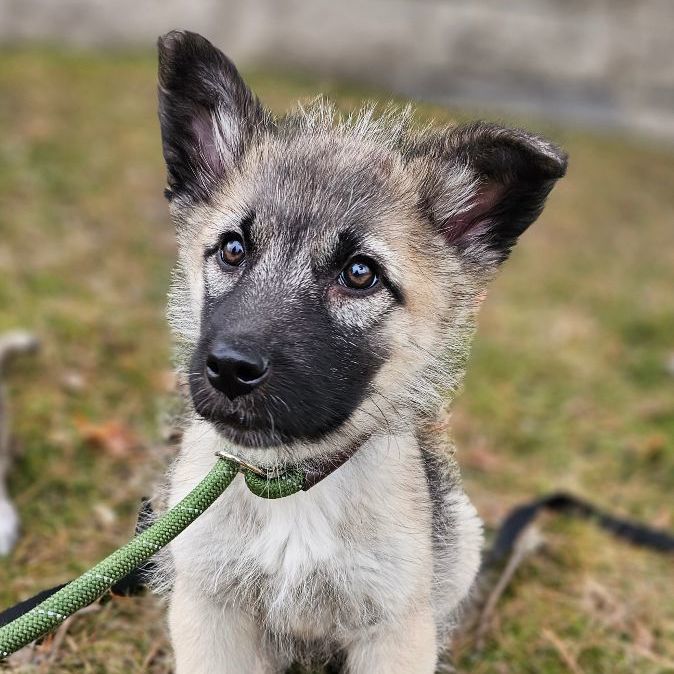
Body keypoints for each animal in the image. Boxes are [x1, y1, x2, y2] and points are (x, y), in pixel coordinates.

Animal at [156, 28, 560, 668]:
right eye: (233, 249)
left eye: (359, 274)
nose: (230, 370)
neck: (291, 486)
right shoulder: (208, 608)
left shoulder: (396, 628)